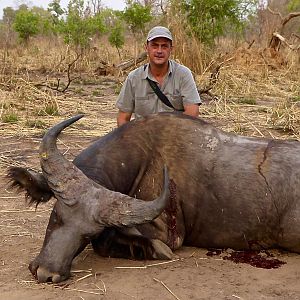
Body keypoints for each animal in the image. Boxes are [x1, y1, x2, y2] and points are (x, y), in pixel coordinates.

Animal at [7, 113, 300, 284]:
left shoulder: (167, 235)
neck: (145, 156)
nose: (46, 273)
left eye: (87, 235)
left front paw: (153, 251)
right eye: (56, 216)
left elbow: (111, 242)